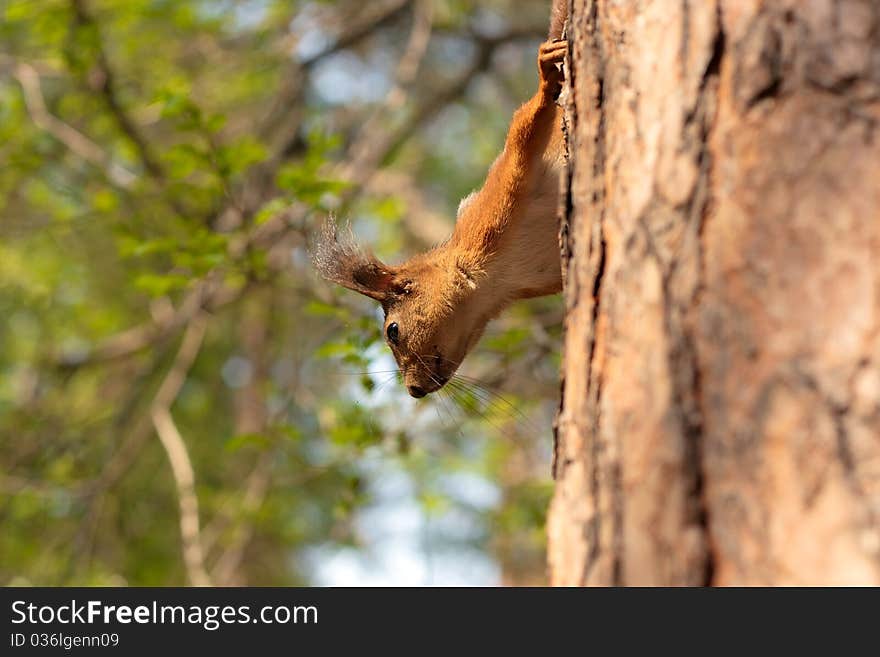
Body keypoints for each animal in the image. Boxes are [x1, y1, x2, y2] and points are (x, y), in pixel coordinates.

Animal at [316, 5, 572, 398]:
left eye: (392, 331)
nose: (413, 391)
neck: (497, 282)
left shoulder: (494, 208)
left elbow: (523, 127)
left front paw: (546, 79)